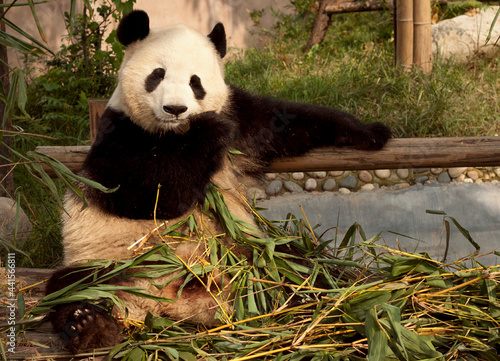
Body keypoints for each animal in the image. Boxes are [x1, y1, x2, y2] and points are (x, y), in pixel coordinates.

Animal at [46, 9, 390, 352]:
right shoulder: (118, 136)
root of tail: (167, 302)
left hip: (247, 252)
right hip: (110, 262)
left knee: (297, 268)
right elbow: (148, 194)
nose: (175, 109)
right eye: (157, 75)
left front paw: (372, 132)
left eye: (195, 82)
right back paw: (91, 327)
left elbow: (289, 120)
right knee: (72, 287)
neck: (174, 135)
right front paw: (207, 131)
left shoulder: (240, 120)